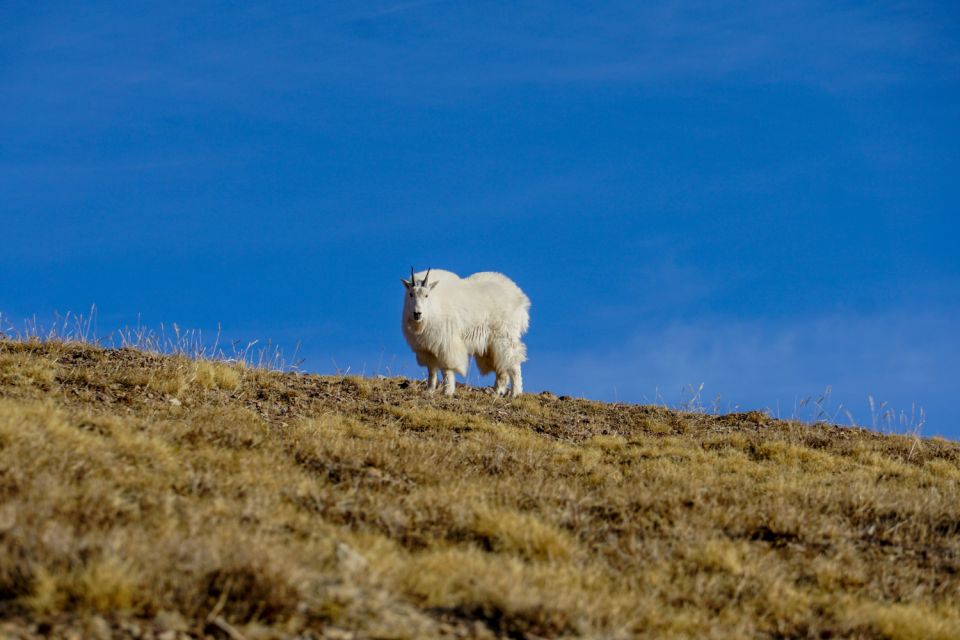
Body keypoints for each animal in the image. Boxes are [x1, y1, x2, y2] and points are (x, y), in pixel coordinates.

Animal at [400, 264, 528, 396]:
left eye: (426, 295)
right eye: (411, 294)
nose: (417, 314)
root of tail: (519, 296)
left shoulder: (446, 344)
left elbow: (447, 368)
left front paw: (447, 391)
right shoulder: (426, 348)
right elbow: (431, 370)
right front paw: (429, 391)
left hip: (505, 336)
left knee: (513, 362)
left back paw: (515, 393)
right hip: (492, 345)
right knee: (501, 366)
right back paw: (496, 392)